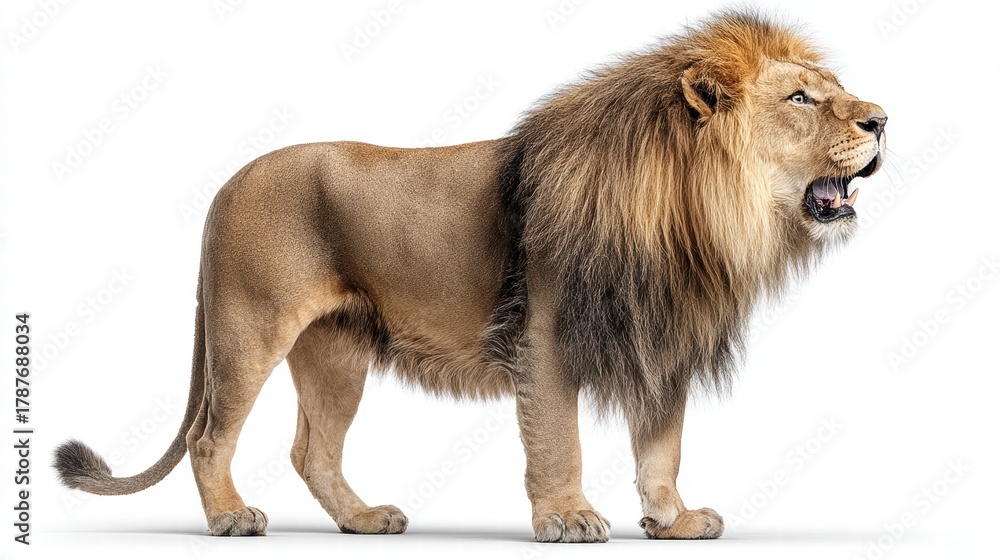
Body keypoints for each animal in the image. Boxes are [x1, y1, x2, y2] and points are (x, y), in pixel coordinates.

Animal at [54, 11, 886, 542]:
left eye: (837, 88)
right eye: (802, 97)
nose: (882, 118)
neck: (696, 217)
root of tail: (226, 183)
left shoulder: (660, 341)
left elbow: (662, 447)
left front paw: (671, 522)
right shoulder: (544, 337)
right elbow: (559, 441)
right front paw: (568, 519)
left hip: (336, 350)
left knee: (312, 450)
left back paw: (364, 521)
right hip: (248, 329)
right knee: (208, 436)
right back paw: (231, 516)